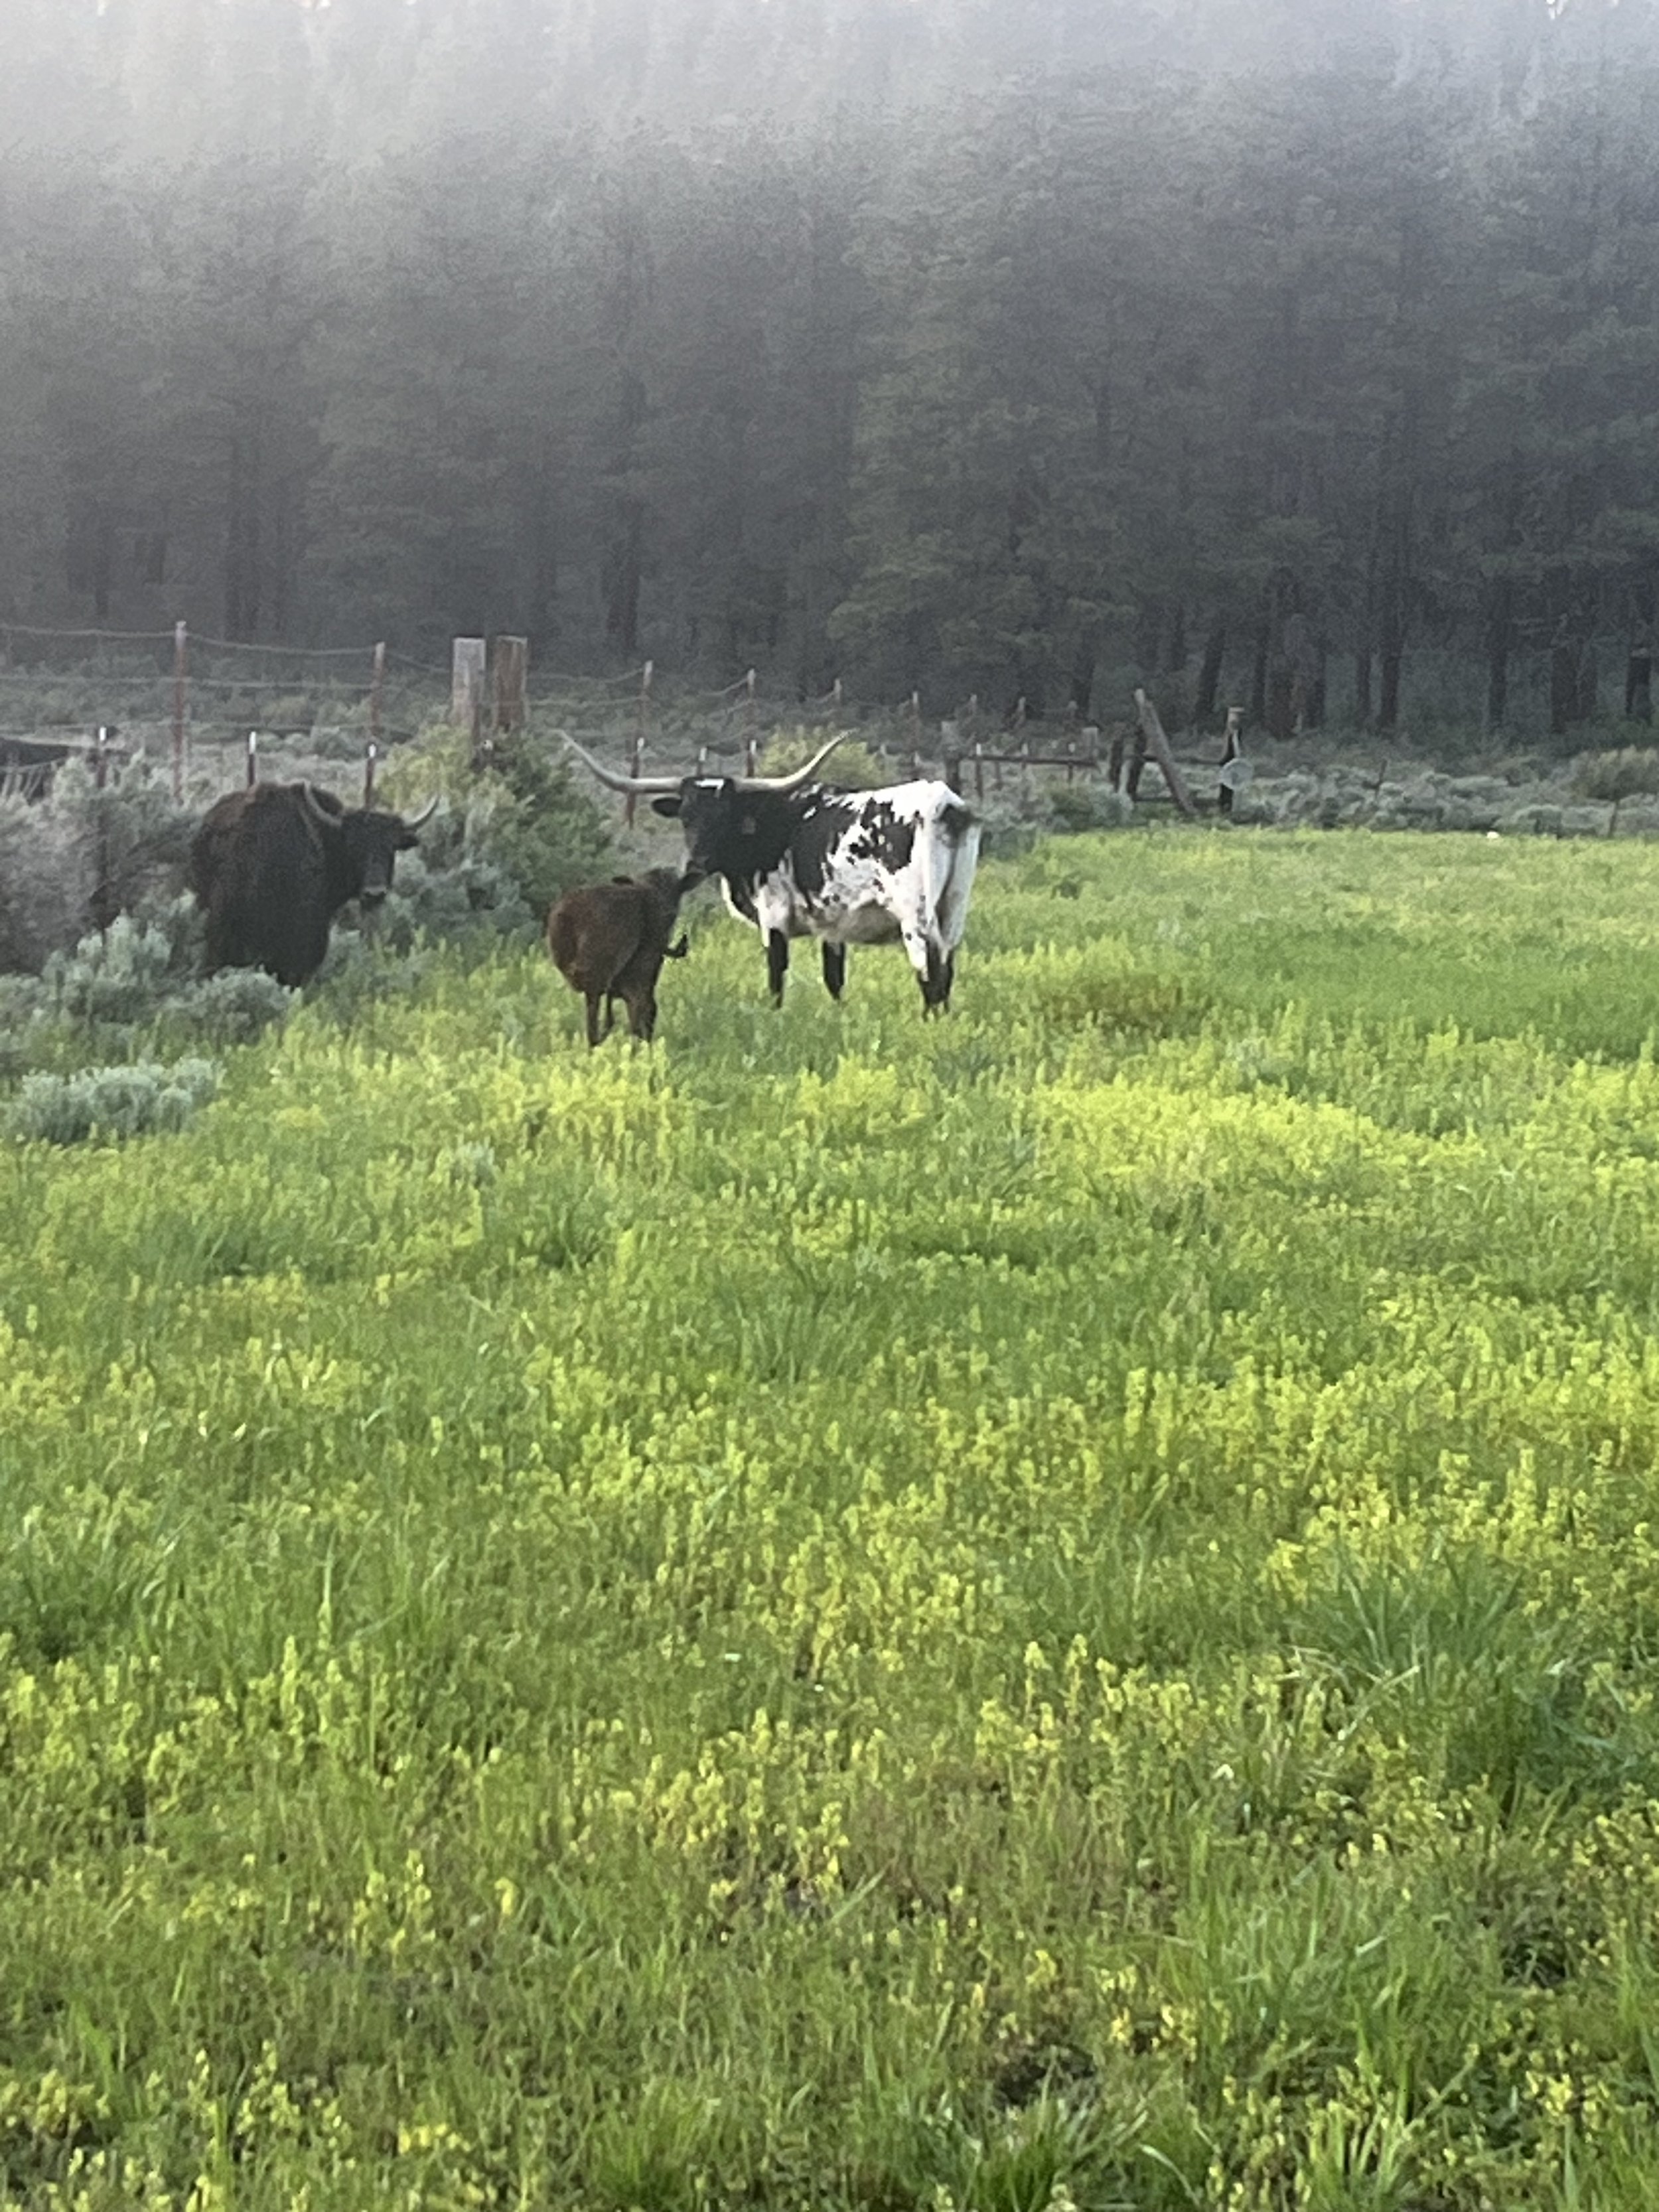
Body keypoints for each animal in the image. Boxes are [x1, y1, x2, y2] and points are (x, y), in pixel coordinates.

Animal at [545, 866, 698, 1046]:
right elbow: (644, 1019)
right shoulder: (639, 980)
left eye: (677, 889)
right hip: (597, 978)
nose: (669, 913)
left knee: (595, 1031)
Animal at [563, 733, 981, 1014]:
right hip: (953, 910)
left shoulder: (775, 915)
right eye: (686, 815)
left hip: (916, 918)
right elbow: (834, 978)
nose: (696, 863)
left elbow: (776, 973)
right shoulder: (832, 923)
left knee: (928, 973)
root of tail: (943, 802)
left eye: (724, 814)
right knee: (946, 970)